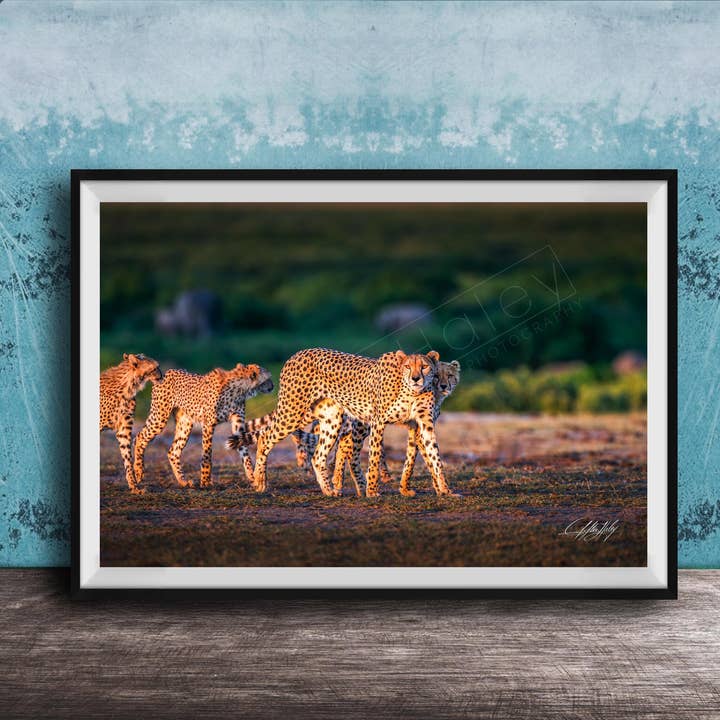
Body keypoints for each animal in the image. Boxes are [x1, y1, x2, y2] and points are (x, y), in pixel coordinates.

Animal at [99, 353, 162, 493]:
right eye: (155, 368)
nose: (162, 376)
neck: (128, 386)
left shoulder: (123, 430)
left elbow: (127, 457)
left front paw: (134, 486)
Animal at [133, 362, 273, 489]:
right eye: (268, 379)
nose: (273, 386)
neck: (241, 388)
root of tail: (167, 372)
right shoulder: (208, 424)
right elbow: (207, 455)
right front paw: (205, 482)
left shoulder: (238, 426)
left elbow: (244, 450)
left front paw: (253, 477)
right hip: (159, 417)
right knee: (139, 437)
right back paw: (138, 472)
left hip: (185, 424)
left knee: (173, 451)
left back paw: (183, 482)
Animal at [227, 348, 456, 497]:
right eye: (408, 366)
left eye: (425, 366)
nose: (416, 378)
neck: (411, 390)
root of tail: (298, 353)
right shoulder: (378, 422)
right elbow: (374, 458)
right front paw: (372, 491)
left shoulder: (422, 425)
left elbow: (434, 456)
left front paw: (446, 490)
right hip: (293, 412)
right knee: (265, 437)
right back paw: (260, 481)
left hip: (331, 419)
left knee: (318, 455)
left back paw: (329, 490)